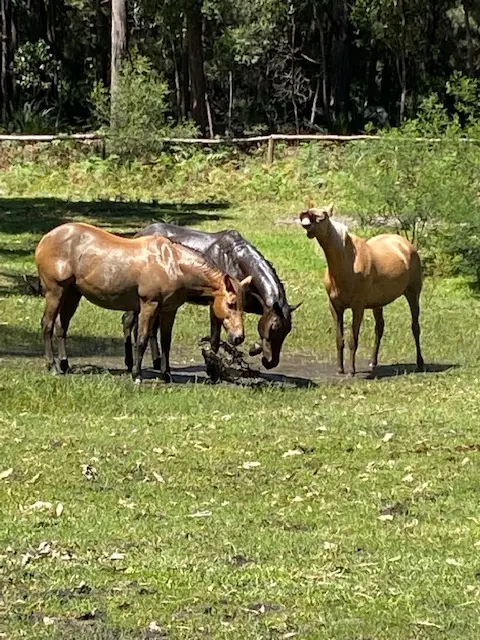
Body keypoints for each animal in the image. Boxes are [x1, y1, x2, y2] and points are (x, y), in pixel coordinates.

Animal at [35, 222, 251, 383]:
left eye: (243, 306)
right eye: (231, 303)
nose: (239, 337)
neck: (172, 264)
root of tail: (46, 238)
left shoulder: (169, 310)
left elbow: (166, 342)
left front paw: (166, 374)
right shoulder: (149, 305)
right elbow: (142, 339)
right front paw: (137, 375)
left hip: (72, 294)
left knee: (61, 327)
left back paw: (64, 364)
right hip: (55, 292)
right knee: (47, 325)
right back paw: (52, 366)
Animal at [122, 222, 301, 377]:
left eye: (287, 330)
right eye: (274, 327)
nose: (271, 362)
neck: (235, 261)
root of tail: (139, 234)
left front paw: (253, 348)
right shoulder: (216, 305)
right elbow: (214, 339)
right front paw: (212, 368)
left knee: (149, 328)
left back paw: (157, 362)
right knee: (128, 321)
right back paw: (130, 363)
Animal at [299, 205, 424, 376]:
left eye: (323, 215)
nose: (306, 221)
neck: (348, 264)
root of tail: (406, 244)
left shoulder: (358, 307)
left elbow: (353, 339)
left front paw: (351, 371)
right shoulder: (335, 307)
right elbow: (339, 339)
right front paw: (340, 369)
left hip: (413, 294)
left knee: (415, 327)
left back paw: (420, 363)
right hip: (378, 303)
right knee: (380, 328)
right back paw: (373, 362)